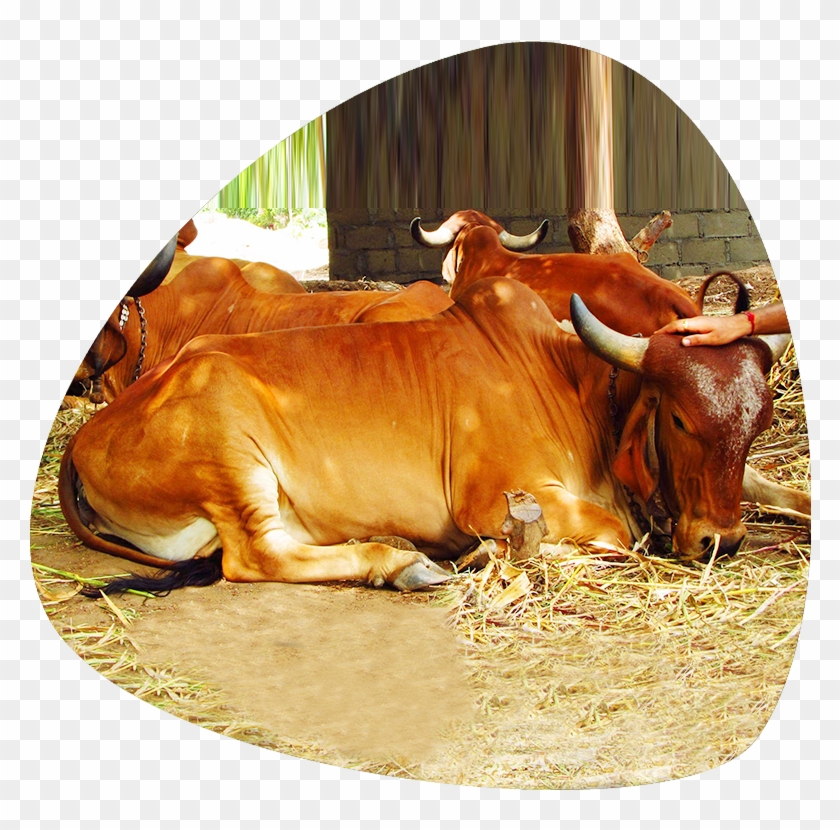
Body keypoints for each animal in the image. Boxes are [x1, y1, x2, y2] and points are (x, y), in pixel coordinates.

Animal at [58, 277, 808, 596]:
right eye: (679, 418)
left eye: (761, 421)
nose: (722, 541)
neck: (569, 381)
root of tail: (83, 437)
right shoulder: (497, 494)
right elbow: (615, 534)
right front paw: (499, 555)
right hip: (231, 458)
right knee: (253, 558)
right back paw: (402, 565)